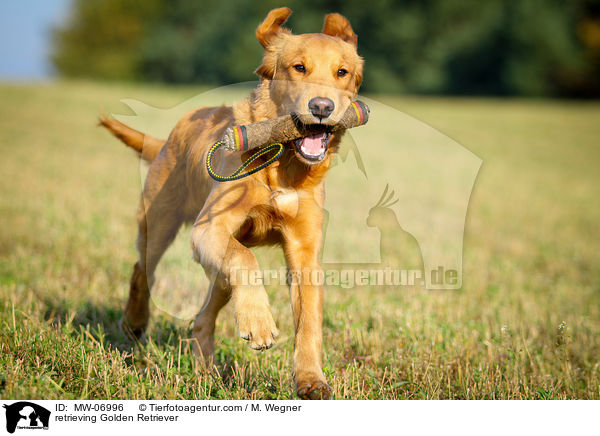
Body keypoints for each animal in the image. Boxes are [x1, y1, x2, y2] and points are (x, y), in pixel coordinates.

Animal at [101, 6, 364, 400]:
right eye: (299, 67)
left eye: (342, 72)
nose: (321, 106)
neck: (282, 167)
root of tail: (167, 139)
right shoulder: (209, 228)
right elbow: (246, 259)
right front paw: (259, 324)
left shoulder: (304, 252)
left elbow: (309, 322)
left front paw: (310, 380)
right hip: (160, 224)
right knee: (142, 269)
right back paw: (135, 323)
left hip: (219, 273)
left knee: (202, 317)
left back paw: (206, 374)